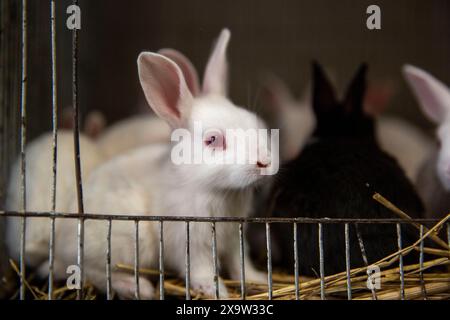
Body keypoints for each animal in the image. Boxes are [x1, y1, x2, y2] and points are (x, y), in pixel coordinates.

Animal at [51, 28, 272, 298]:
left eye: (254, 121)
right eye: (212, 140)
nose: (265, 162)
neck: (217, 190)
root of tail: (61, 243)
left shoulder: (234, 240)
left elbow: (240, 263)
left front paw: (257, 279)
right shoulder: (189, 242)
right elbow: (201, 269)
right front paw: (215, 290)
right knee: (94, 273)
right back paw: (138, 287)